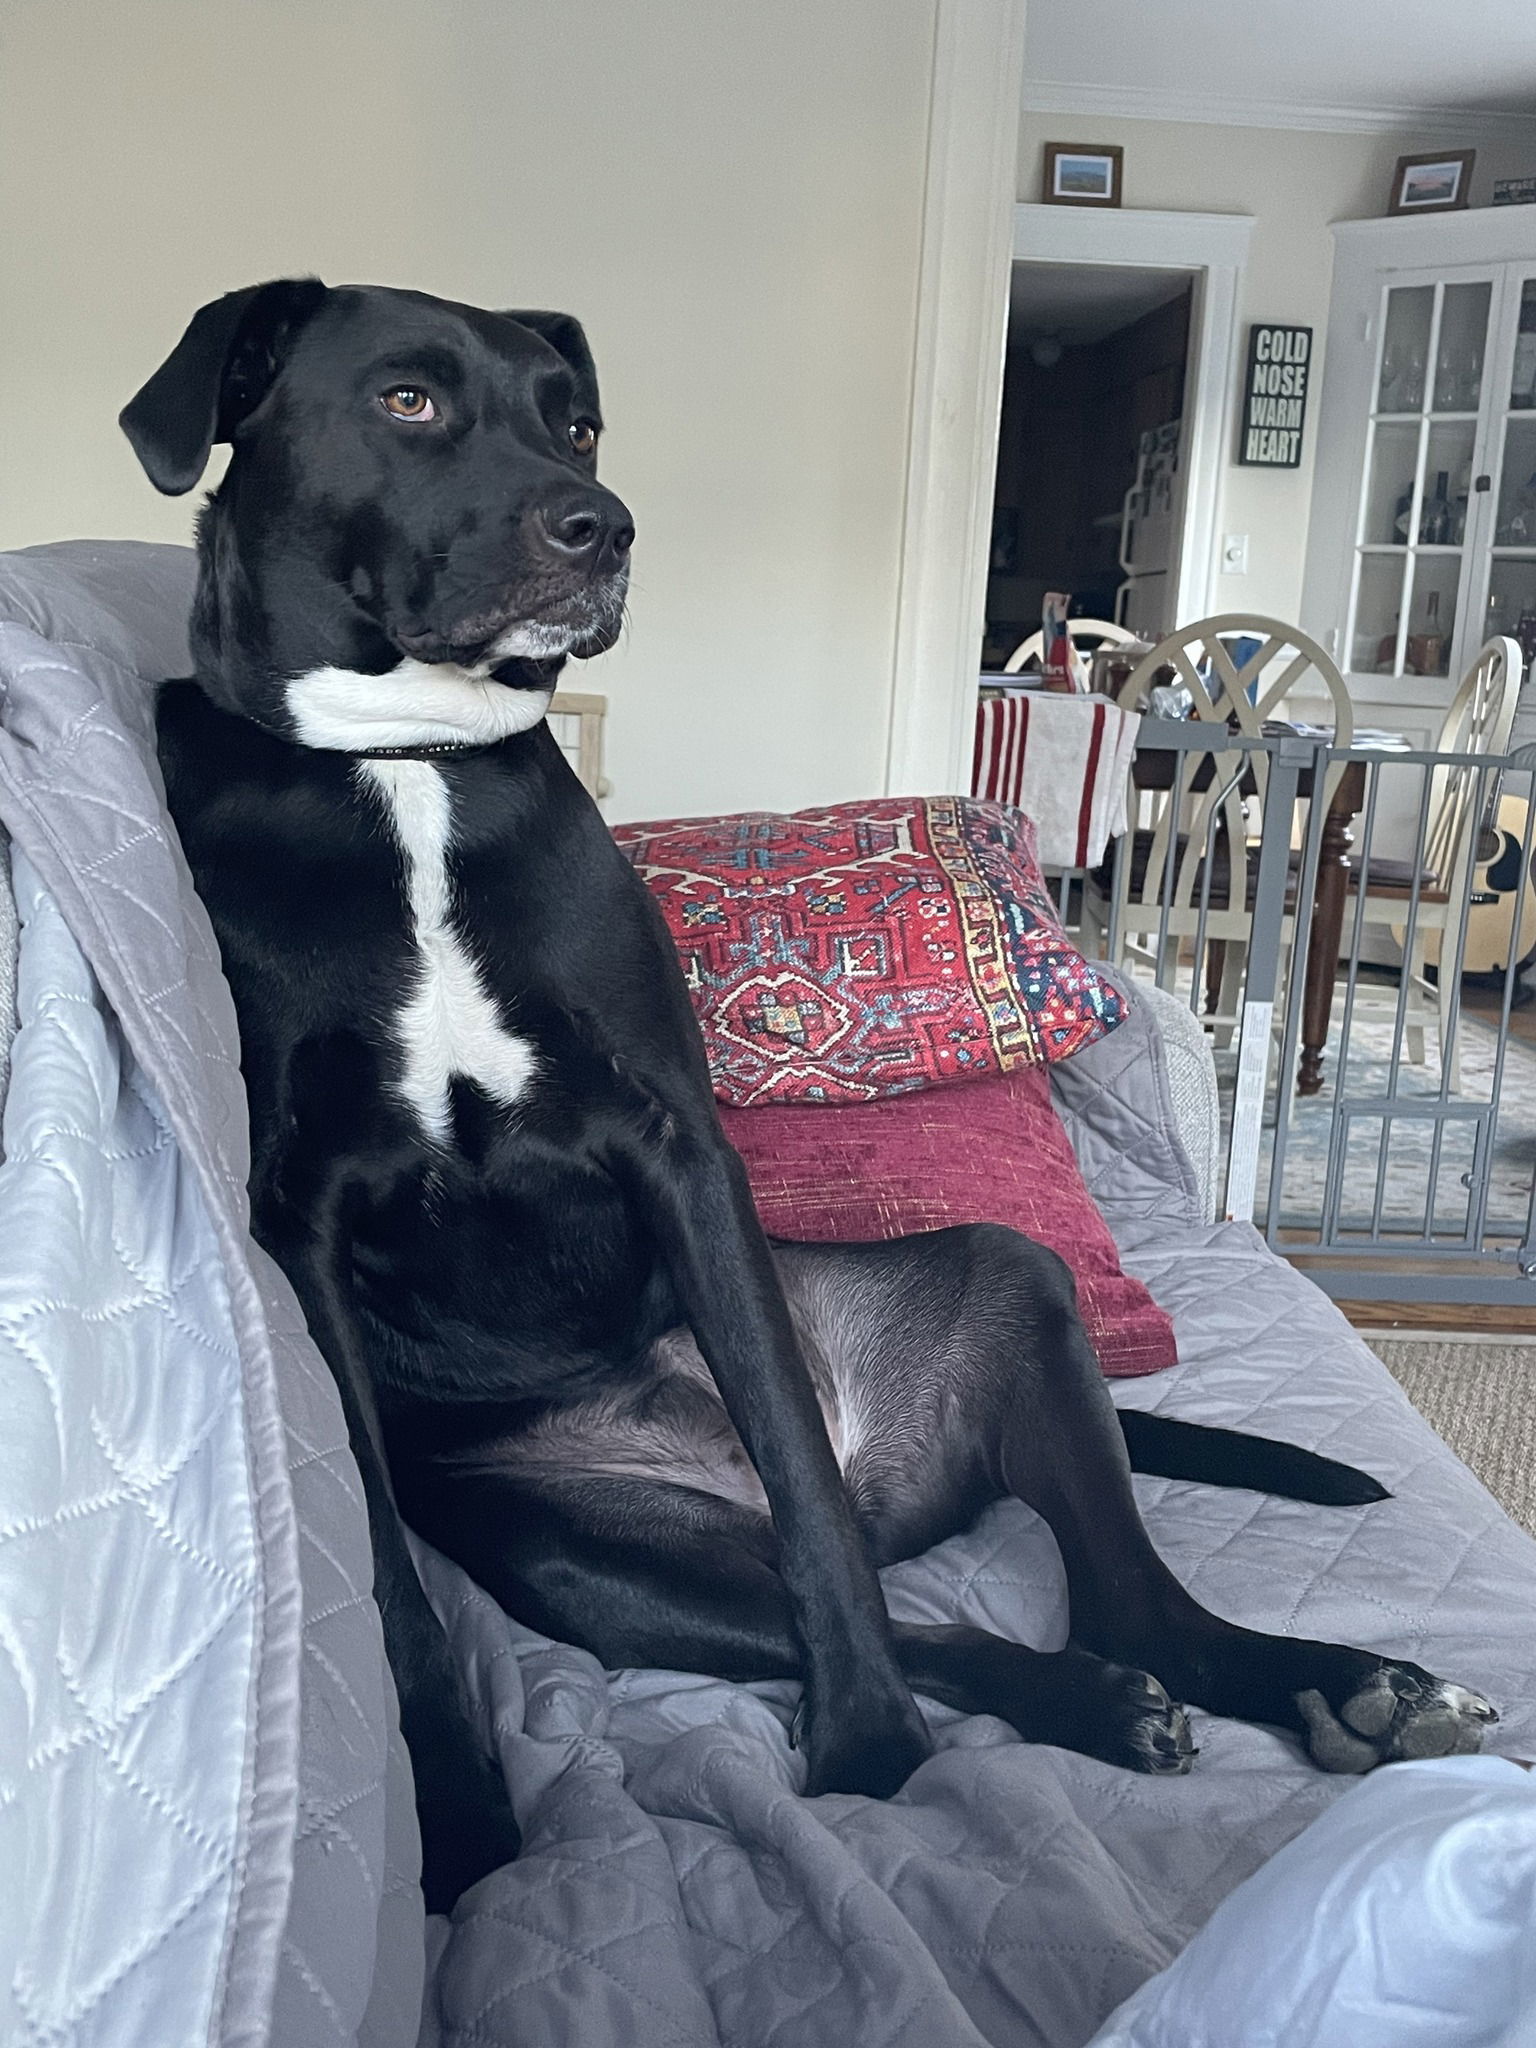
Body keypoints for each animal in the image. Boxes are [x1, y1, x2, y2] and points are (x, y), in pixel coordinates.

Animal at [123, 280, 1507, 1908]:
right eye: (408, 401)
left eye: (574, 421)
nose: (606, 526)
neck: (407, 765)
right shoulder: (307, 1225)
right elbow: (396, 1596)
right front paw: (461, 1834)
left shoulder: (678, 1153)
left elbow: (798, 1471)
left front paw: (862, 1742)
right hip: (589, 1559)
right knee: (947, 1615)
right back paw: (1100, 1702)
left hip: (1011, 1288)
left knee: (1072, 1587)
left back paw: (1330, 1686)